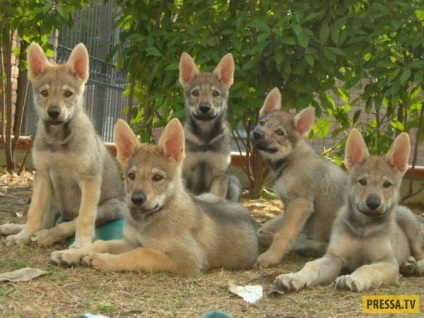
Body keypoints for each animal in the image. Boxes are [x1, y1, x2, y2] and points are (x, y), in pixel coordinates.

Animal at [0, 41, 126, 248]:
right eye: (44, 93)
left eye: (68, 94)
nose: (54, 112)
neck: (58, 139)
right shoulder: (42, 175)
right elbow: (33, 213)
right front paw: (22, 236)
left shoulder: (89, 179)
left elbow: (84, 217)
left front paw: (81, 245)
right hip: (53, 197)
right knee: (45, 222)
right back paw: (15, 230)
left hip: (110, 206)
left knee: (66, 224)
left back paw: (46, 236)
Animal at [48, 119, 256, 276]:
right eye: (131, 175)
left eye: (157, 177)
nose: (137, 199)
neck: (149, 219)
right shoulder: (129, 241)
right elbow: (99, 243)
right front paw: (70, 254)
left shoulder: (186, 258)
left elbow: (140, 253)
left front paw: (100, 259)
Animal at [177, 53, 242, 200]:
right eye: (195, 93)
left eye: (215, 94)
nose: (204, 108)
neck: (204, 139)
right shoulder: (184, 172)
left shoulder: (219, 173)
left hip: (234, 183)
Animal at [252, 87, 348, 268]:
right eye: (262, 123)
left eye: (279, 132)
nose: (256, 134)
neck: (290, 160)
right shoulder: (288, 205)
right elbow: (277, 225)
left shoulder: (300, 204)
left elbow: (283, 234)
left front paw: (270, 257)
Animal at [274, 129, 424, 290]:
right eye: (362, 182)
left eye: (387, 184)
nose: (373, 203)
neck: (362, 228)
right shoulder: (334, 257)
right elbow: (311, 266)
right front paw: (293, 277)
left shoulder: (387, 262)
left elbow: (365, 268)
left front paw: (351, 278)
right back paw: (408, 263)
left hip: (408, 221)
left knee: (421, 253)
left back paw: (416, 265)